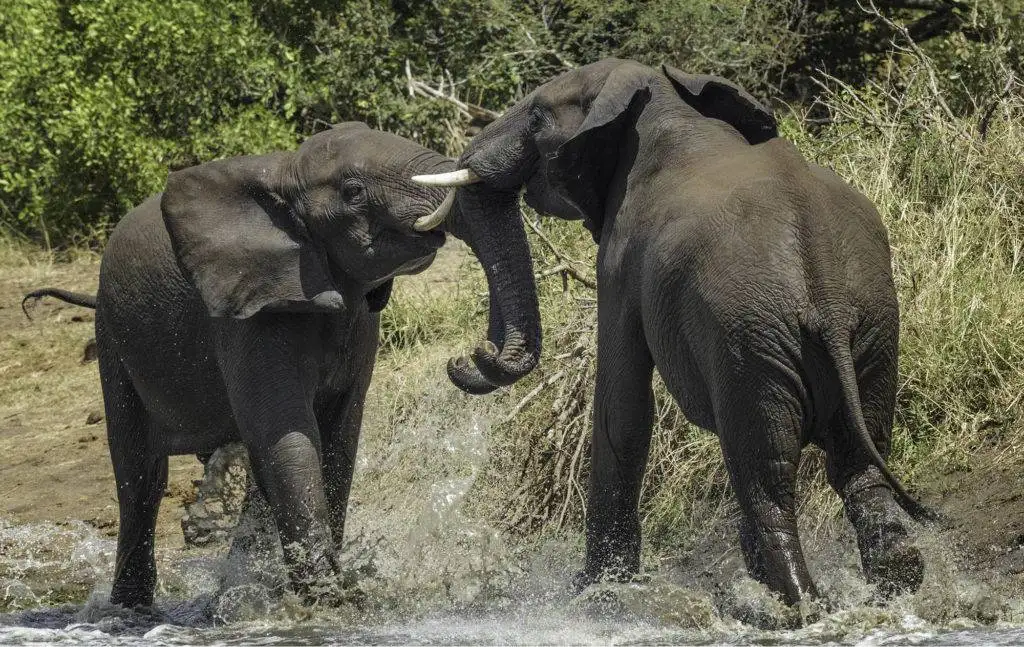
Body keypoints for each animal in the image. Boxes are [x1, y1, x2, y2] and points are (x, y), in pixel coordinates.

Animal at [22, 123, 462, 609]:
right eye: (353, 191)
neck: (285, 173)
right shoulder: (245, 315)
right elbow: (288, 435)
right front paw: (332, 600)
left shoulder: (358, 322)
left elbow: (336, 439)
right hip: (113, 337)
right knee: (141, 478)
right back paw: (130, 608)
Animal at [410, 59, 938, 612]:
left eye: (536, 117)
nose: (470, 356)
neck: (659, 97)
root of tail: (828, 301)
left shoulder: (620, 258)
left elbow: (621, 406)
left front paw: (593, 590)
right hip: (872, 329)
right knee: (860, 464)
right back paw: (890, 582)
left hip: (750, 342)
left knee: (766, 472)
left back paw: (794, 604)